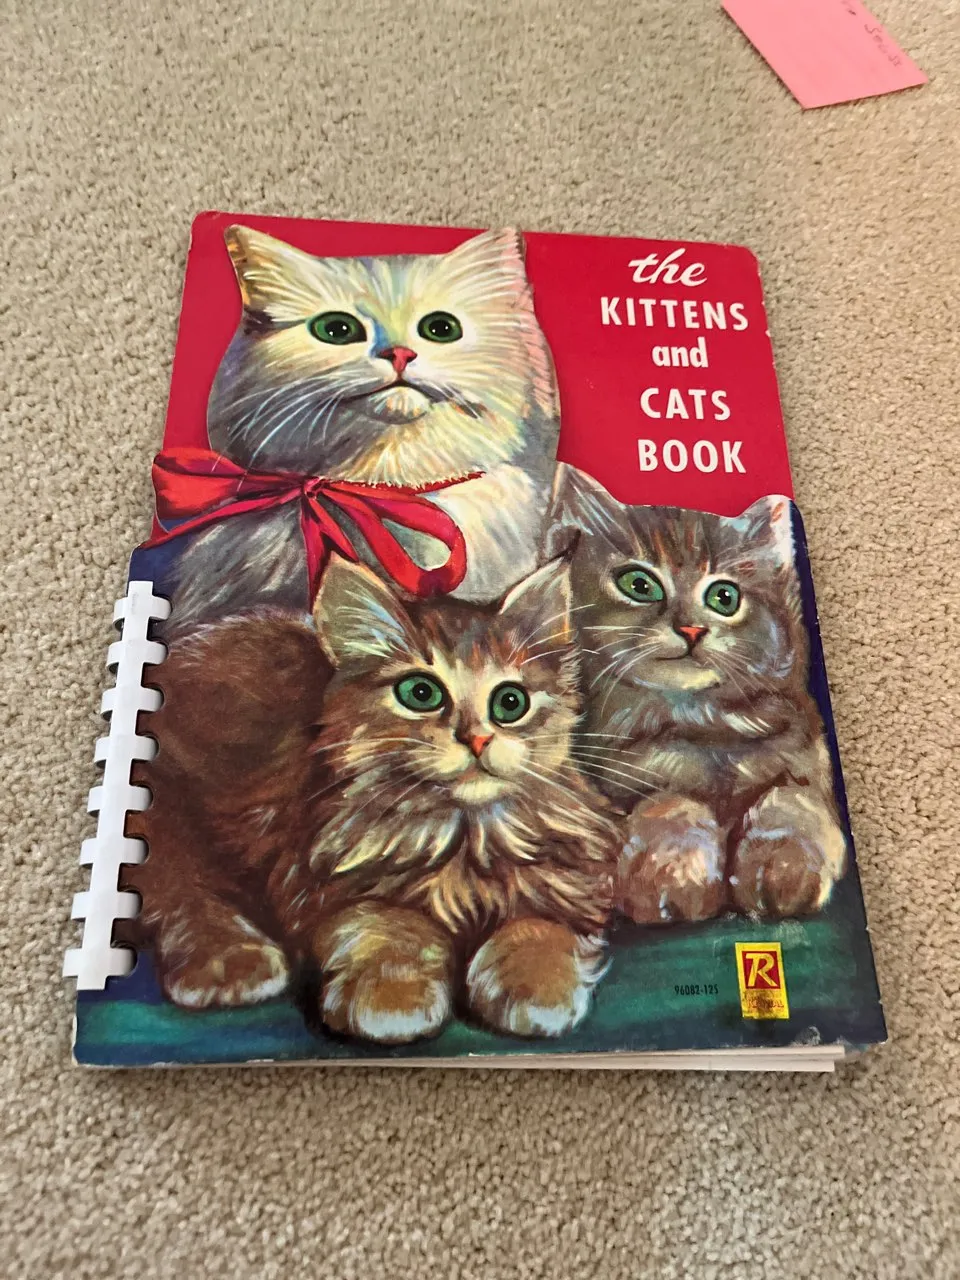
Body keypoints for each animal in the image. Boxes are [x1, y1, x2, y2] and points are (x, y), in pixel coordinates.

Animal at [126, 554, 619, 1045]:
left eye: (510, 702)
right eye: (420, 693)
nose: (476, 739)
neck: (463, 835)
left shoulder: (571, 883)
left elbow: (538, 929)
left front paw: (538, 987)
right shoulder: (323, 886)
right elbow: (387, 926)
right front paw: (392, 998)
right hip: (165, 821)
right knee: (183, 896)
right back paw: (233, 961)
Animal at [544, 464, 848, 925]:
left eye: (724, 597)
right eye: (639, 584)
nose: (690, 628)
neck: (699, 726)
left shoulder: (804, 757)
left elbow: (793, 800)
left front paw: (783, 865)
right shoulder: (610, 790)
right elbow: (666, 801)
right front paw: (670, 872)